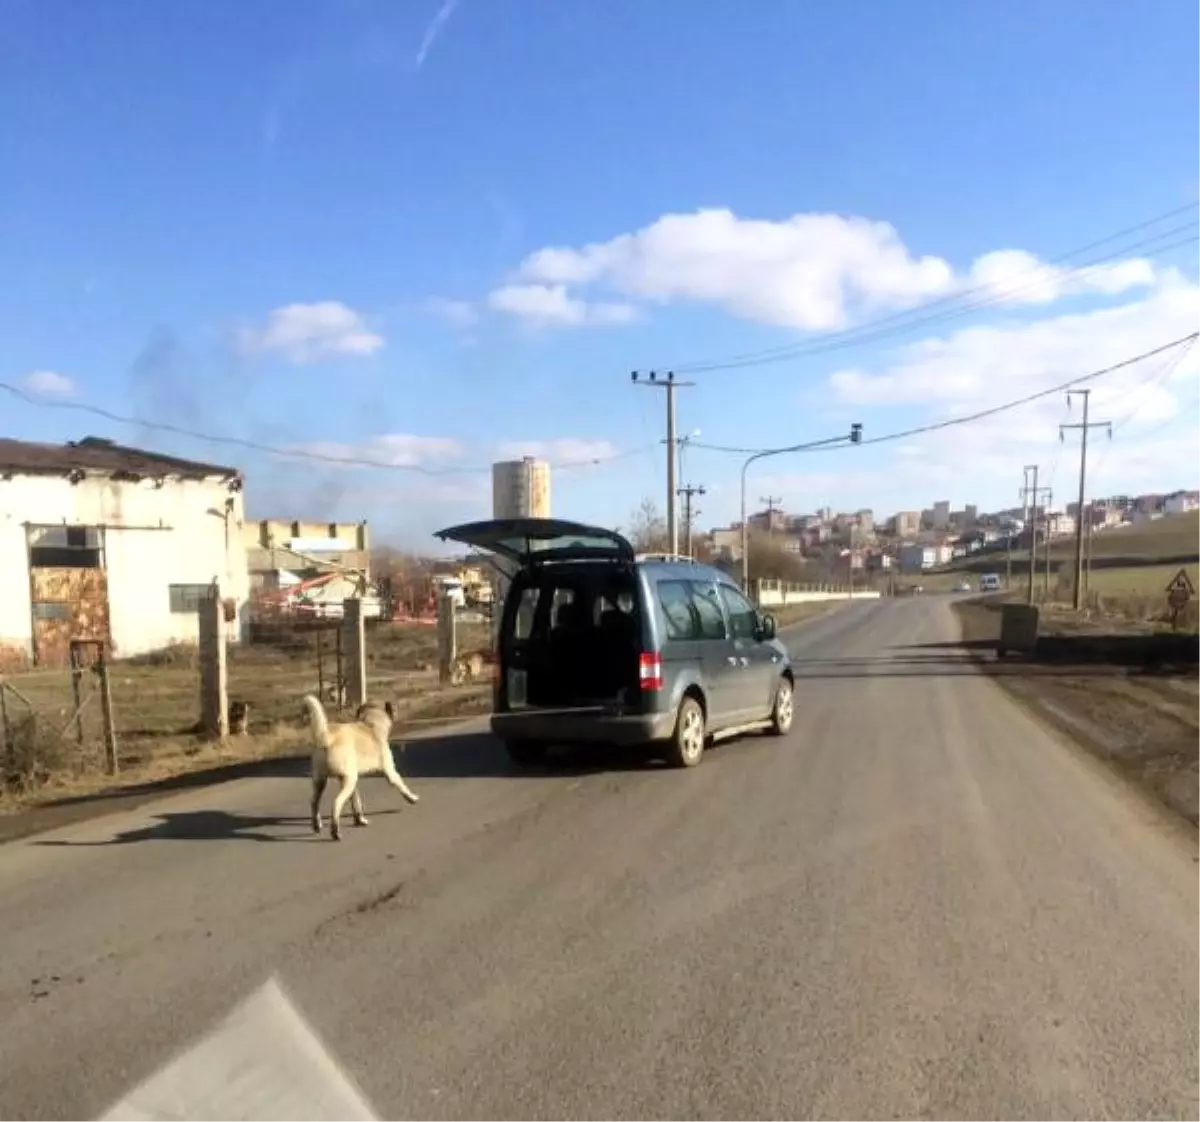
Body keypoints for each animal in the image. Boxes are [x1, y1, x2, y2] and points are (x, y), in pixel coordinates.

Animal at [302, 691, 420, 844]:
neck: (371, 724)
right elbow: (401, 785)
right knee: (336, 803)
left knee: (314, 802)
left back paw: (317, 825)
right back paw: (335, 832)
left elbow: (356, 803)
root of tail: (325, 736)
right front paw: (412, 798)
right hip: (348, 781)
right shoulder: (390, 772)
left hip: (323, 781)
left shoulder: (350, 782)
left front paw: (359, 820)